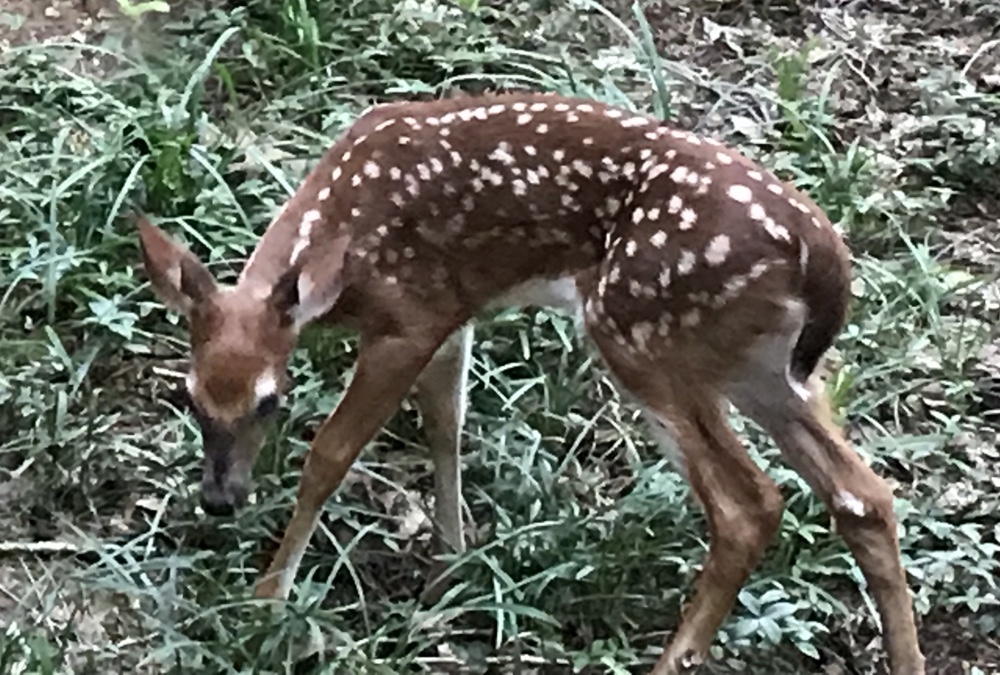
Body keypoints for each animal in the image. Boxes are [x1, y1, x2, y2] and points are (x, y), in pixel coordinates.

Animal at [137, 92, 924, 672]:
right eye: (188, 396)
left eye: (271, 401)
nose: (219, 497)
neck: (346, 240)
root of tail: (822, 254)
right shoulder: (456, 313)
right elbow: (446, 427)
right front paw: (449, 572)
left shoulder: (411, 316)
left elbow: (330, 455)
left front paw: (267, 601)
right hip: (762, 362)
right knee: (864, 494)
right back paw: (905, 658)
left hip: (643, 332)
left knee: (749, 504)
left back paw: (672, 656)